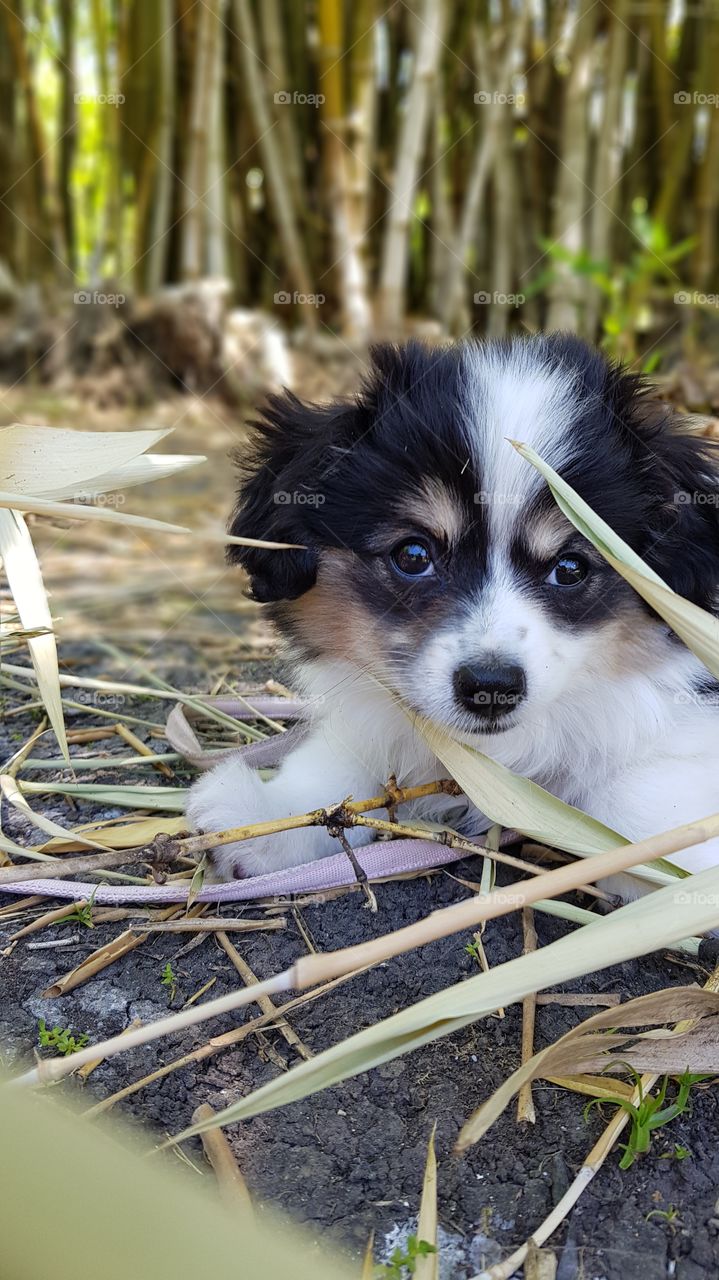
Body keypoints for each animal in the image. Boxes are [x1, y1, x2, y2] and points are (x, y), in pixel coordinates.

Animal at [184, 335, 716, 896]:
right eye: (413, 555)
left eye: (570, 568)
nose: (491, 687)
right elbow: (344, 759)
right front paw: (269, 814)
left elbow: (631, 794)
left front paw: (684, 862)